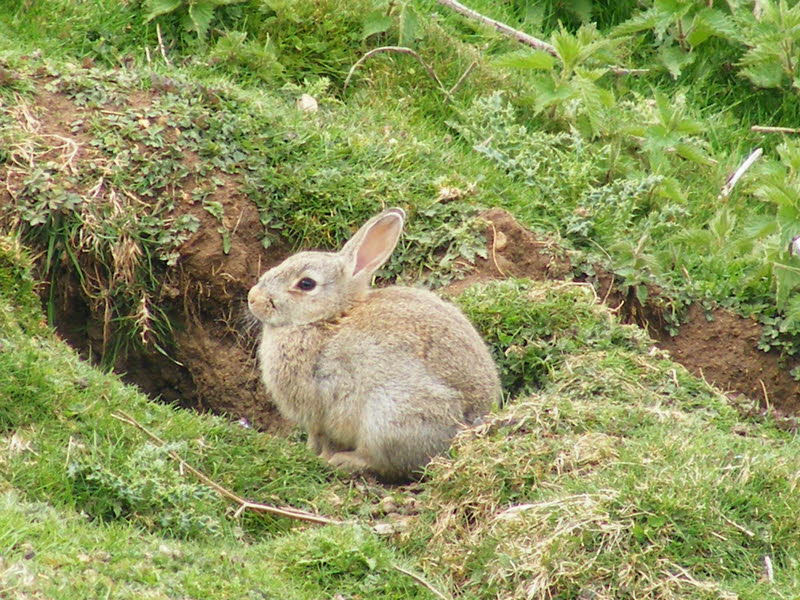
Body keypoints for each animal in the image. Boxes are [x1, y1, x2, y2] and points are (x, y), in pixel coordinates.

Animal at [247, 207, 501, 481]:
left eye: (306, 284)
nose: (252, 298)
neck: (331, 317)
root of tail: (470, 421)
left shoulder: (321, 409)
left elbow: (322, 437)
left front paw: (317, 454)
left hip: (389, 416)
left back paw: (344, 461)